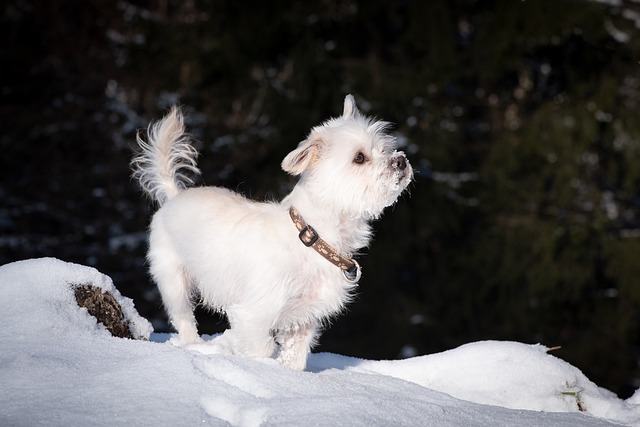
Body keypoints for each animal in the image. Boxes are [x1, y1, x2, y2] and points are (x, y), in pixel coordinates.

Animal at [132, 95, 412, 370]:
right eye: (359, 158)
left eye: (385, 149)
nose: (401, 160)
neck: (312, 237)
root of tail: (174, 196)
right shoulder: (254, 313)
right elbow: (263, 348)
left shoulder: (304, 318)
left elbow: (295, 358)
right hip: (173, 280)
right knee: (183, 318)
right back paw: (194, 345)